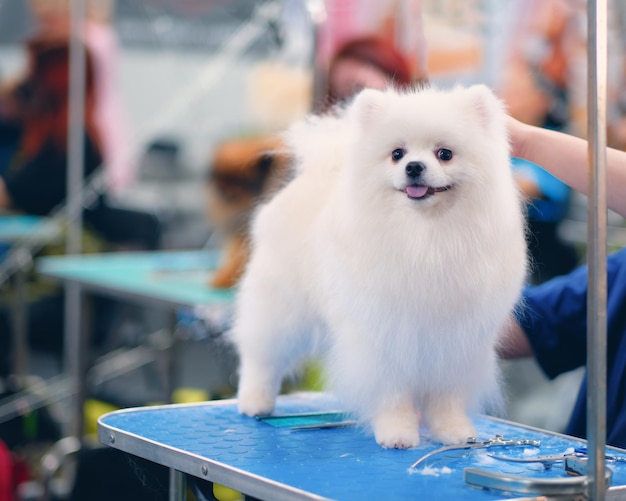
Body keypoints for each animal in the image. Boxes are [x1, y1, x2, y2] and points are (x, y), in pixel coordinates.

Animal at [229, 84, 528, 448]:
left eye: (445, 154)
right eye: (397, 154)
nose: (414, 166)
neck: (426, 237)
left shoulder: (457, 338)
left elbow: (447, 395)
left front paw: (452, 430)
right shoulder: (384, 333)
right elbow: (392, 392)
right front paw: (397, 432)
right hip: (282, 306)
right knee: (262, 355)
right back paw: (255, 401)